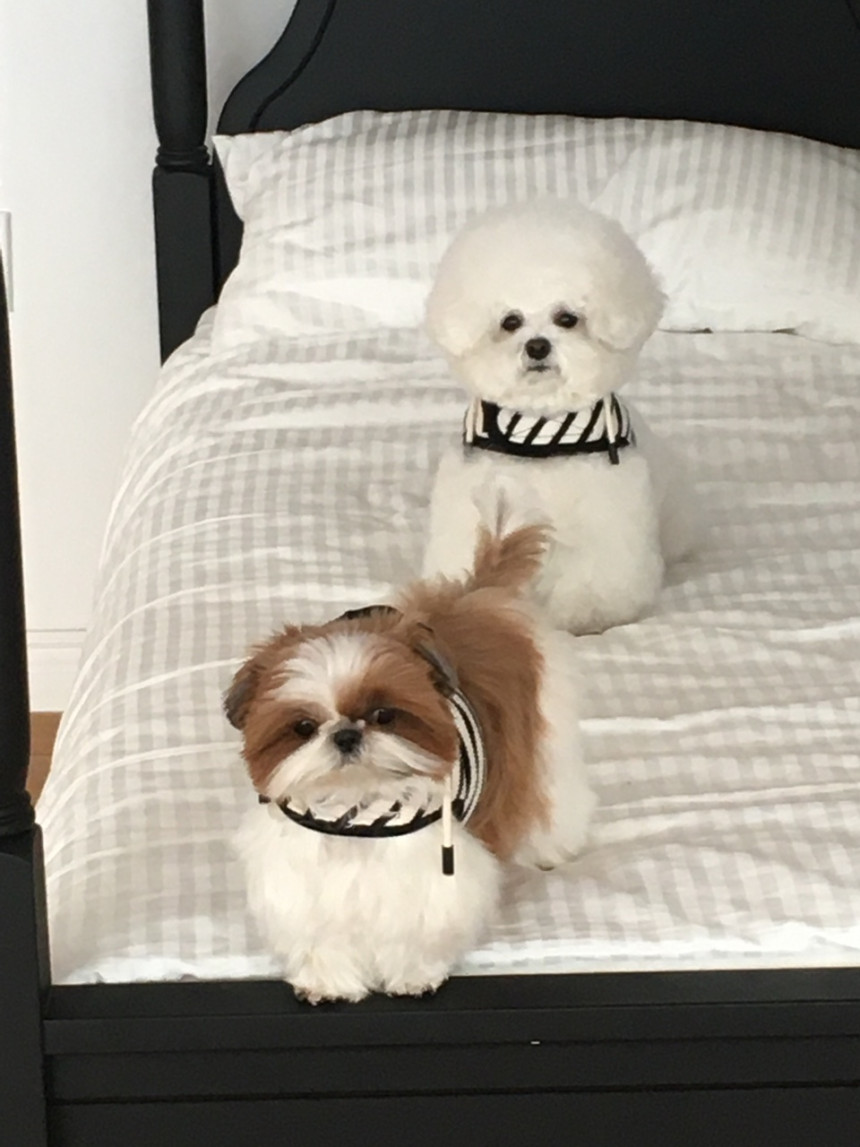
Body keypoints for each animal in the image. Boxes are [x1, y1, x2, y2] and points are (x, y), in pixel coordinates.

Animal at [225, 506, 594, 1003]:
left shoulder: (428, 876)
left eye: (384, 715)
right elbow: (321, 930)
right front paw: (329, 981)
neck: (356, 816)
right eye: (303, 727)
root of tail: (475, 595)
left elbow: (415, 927)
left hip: (545, 738)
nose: (346, 735)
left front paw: (413, 974)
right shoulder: (302, 876)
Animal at [423, 198, 698, 635]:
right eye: (510, 321)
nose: (537, 346)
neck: (542, 431)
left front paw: (589, 613)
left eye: (567, 318)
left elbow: (595, 572)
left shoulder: (604, 513)